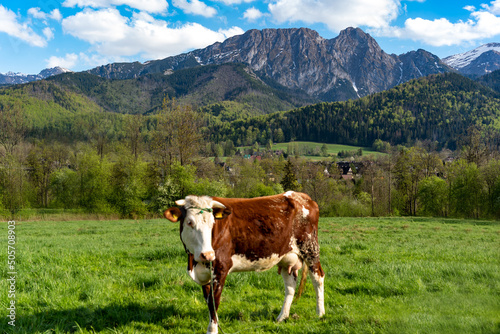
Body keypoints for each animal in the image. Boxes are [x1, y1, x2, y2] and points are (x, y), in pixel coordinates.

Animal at [164, 190, 326, 334]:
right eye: (189, 222)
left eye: (212, 223)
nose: (208, 255)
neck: (194, 262)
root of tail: (301, 196)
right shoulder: (205, 273)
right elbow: (209, 302)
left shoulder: (220, 268)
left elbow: (214, 301)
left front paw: (212, 330)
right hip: (287, 257)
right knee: (290, 285)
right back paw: (282, 317)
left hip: (310, 248)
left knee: (318, 277)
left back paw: (320, 313)